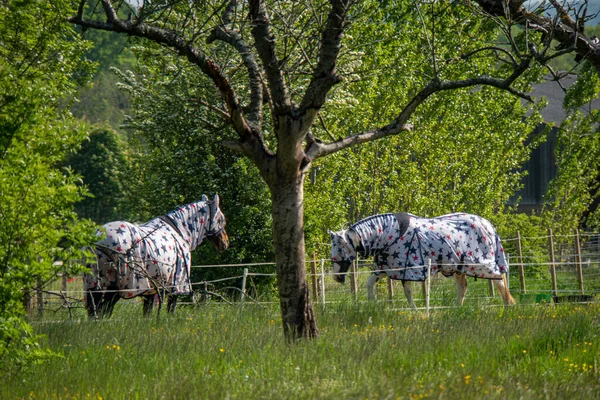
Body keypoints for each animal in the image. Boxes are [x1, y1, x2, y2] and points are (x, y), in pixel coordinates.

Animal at [82, 195, 227, 318]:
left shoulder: (151, 289)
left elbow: (147, 312)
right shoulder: (177, 285)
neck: (179, 232)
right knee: (104, 309)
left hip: (95, 283)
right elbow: (171, 309)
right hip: (116, 286)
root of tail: (98, 238)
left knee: (96, 309)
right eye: (221, 219)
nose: (225, 243)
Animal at [330, 212, 512, 310]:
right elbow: (369, 283)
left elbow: (408, 292)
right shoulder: (388, 269)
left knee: (500, 282)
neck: (391, 235)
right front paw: (372, 303)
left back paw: (507, 306)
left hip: (483, 265)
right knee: (463, 287)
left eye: (338, 250)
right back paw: (456, 308)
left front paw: (416, 311)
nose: (336, 278)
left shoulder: (407, 269)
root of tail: (488, 225)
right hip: (460, 267)